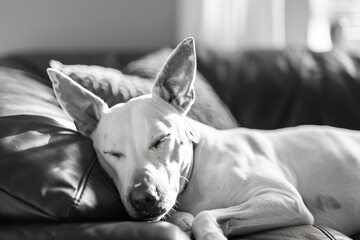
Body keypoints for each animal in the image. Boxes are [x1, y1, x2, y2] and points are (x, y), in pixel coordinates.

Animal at [46, 38, 358, 240]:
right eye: (112, 154)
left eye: (161, 139)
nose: (143, 199)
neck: (195, 179)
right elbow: (192, 217)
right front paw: (188, 221)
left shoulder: (284, 199)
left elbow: (205, 216)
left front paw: (211, 234)